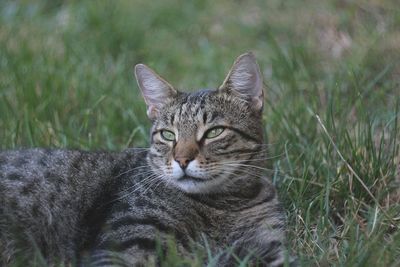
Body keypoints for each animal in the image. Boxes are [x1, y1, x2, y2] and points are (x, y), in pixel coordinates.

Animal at [0, 52, 294, 267]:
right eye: (168, 135)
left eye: (214, 132)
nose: (182, 160)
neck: (225, 204)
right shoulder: (123, 244)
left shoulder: (268, 245)